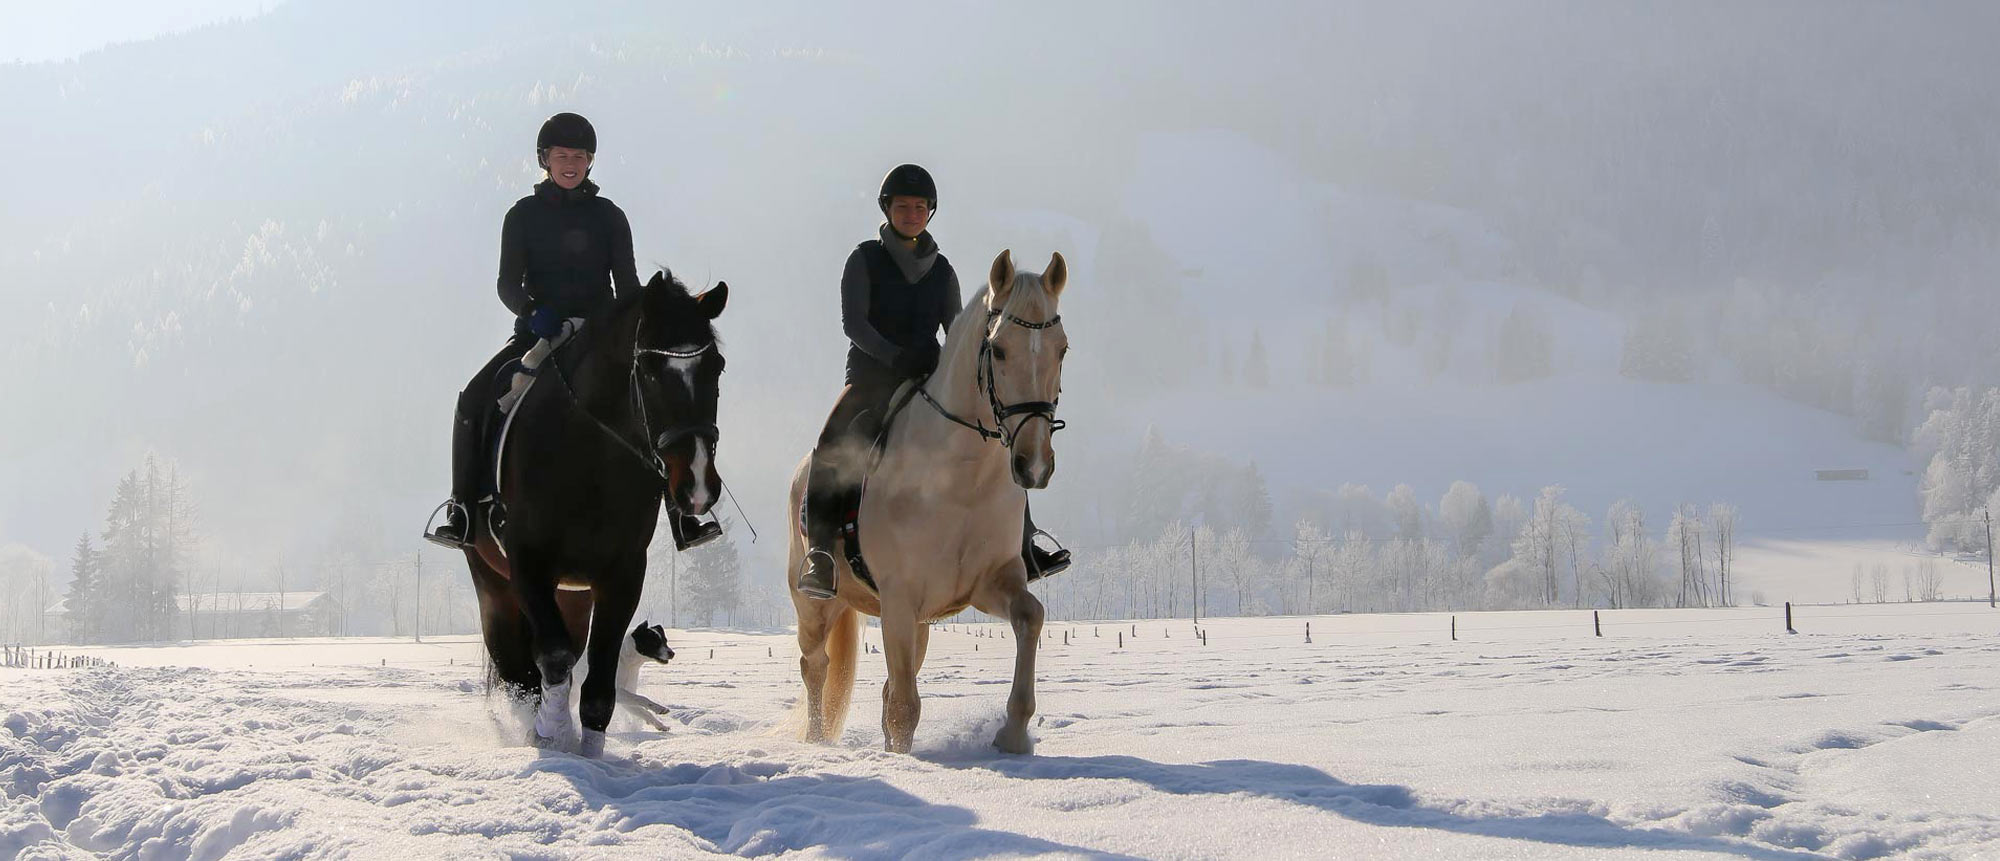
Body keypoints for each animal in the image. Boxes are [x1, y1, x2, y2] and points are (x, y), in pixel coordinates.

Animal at [464, 272, 724, 756]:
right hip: (494, 587)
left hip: (574, 594)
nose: (698, 483)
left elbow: (600, 684)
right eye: (651, 370)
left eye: (716, 366)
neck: (590, 456)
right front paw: (552, 738)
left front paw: (590, 754)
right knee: (519, 672)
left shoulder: (623, 573)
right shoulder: (528, 564)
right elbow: (554, 659)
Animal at [792, 249, 1080, 752]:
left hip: (920, 623)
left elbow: (1030, 616)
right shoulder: (899, 600)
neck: (960, 482)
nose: (1033, 464)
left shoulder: (988, 584)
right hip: (814, 605)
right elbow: (905, 709)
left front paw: (1012, 733)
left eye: (1061, 348)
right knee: (816, 668)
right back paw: (817, 743)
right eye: (998, 349)